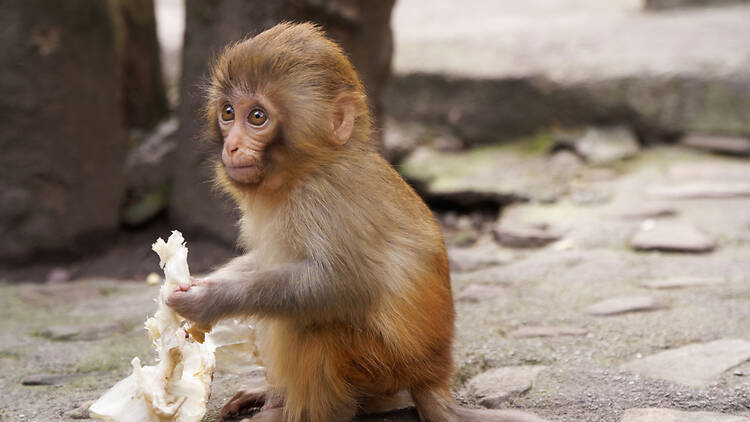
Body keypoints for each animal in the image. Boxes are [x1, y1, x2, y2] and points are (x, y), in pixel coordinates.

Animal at [167, 22, 546, 422]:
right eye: (228, 112)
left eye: (257, 117)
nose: (233, 145)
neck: (306, 169)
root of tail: (433, 377)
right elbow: (266, 262)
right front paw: (202, 282)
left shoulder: (324, 198)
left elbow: (342, 284)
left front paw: (209, 300)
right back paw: (277, 396)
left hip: (383, 365)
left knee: (313, 324)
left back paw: (296, 412)